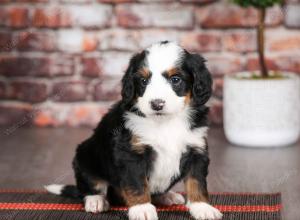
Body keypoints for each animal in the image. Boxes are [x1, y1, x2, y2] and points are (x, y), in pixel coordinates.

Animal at [45, 41, 223, 220]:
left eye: (176, 79)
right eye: (143, 81)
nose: (156, 104)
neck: (165, 122)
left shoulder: (196, 150)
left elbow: (196, 182)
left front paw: (202, 207)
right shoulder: (131, 153)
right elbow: (137, 184)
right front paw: (142, 208)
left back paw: (168, 196)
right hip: (85, 155)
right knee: (91, 185)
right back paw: (96, 200)